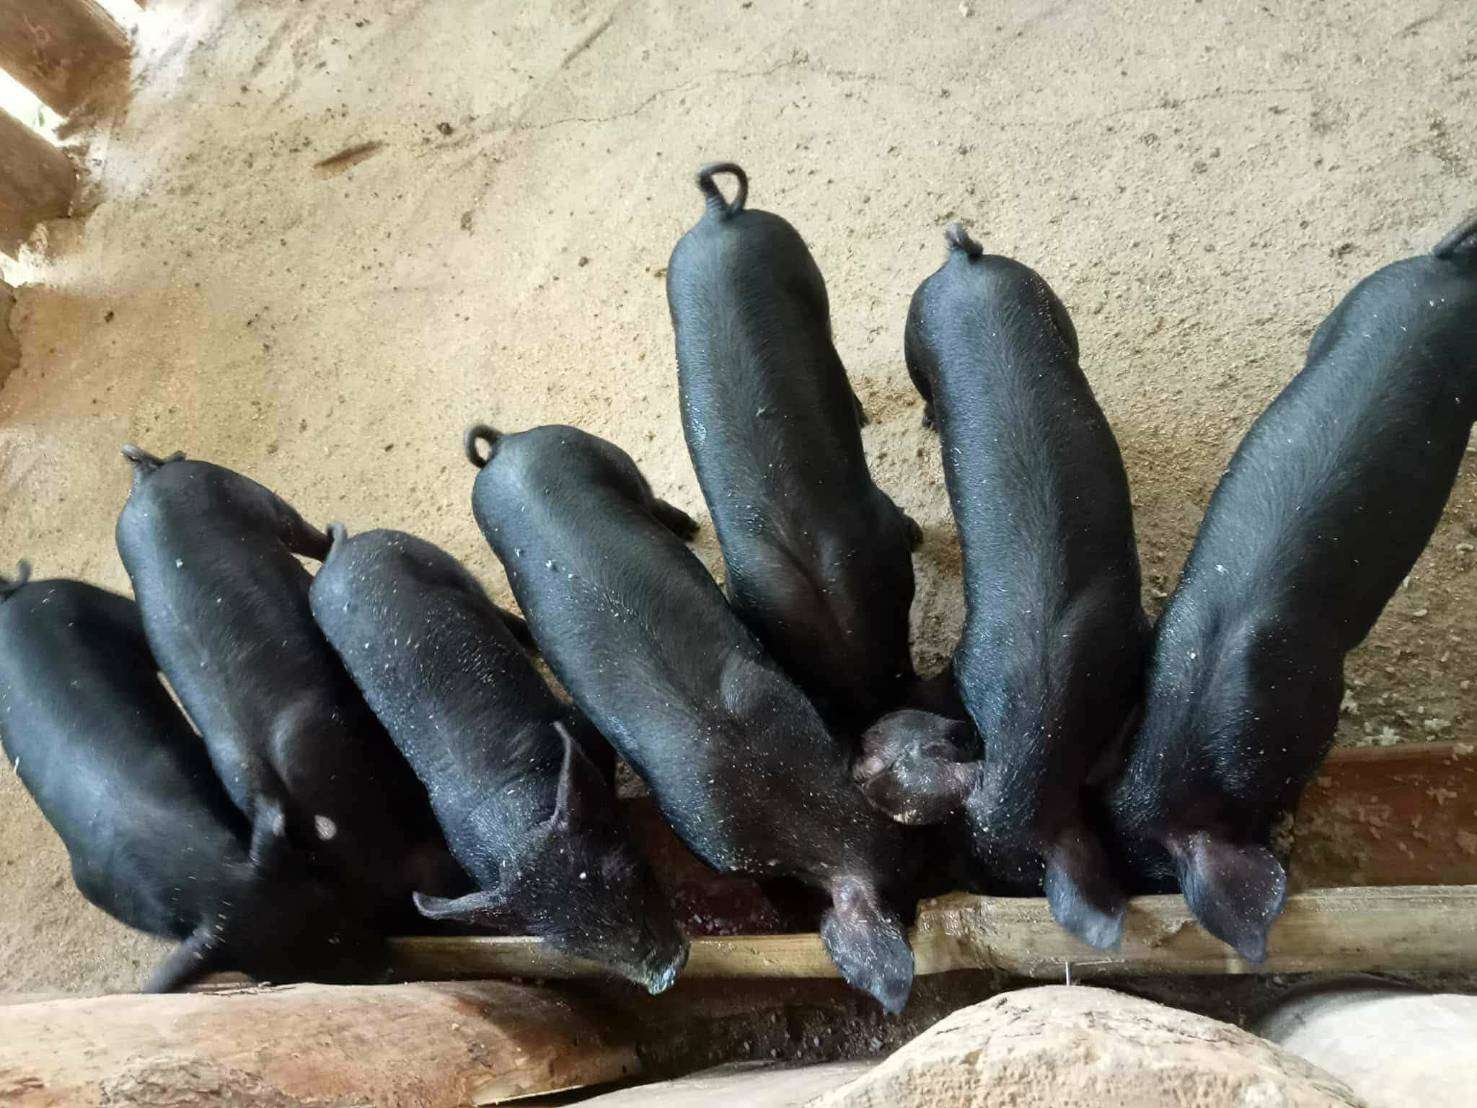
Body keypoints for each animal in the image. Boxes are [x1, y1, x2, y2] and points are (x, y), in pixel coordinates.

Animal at [0, 567, 383, 991]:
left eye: (330, 898)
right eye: (289, 973)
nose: (386, 964)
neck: (206, 873)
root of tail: (15, 598)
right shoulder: (92, 881)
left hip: (95, 603)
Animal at [309, 525, 689, 993]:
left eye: (631, 873)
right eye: (573, 944)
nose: (667, 972)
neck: (516, 812)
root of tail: (344, 549)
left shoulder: (579, 726)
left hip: (437, 560)